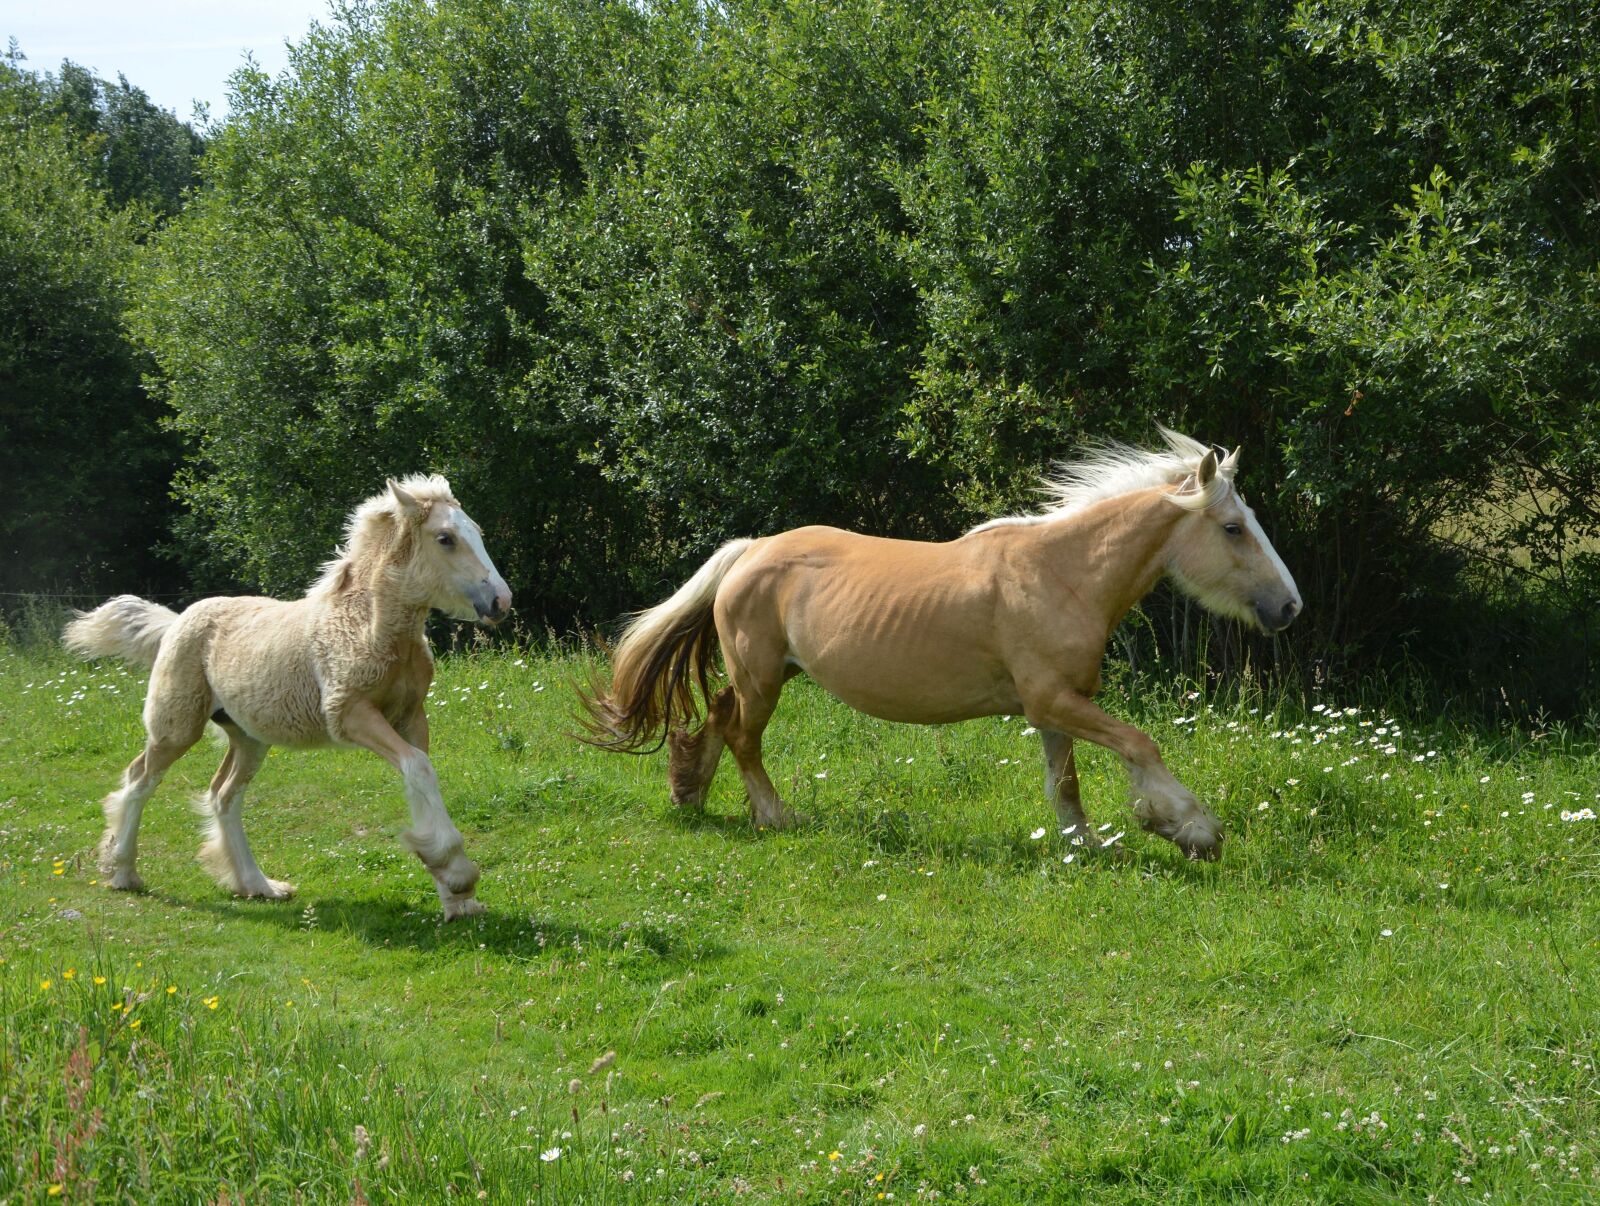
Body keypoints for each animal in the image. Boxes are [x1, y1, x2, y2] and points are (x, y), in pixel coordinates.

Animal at [63, 476, 512, 919]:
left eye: (477, 531)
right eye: (445, 538)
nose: (501, 601)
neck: (369, 626)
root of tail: (177, 621)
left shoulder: (410, 716)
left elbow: (420, 771)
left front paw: (457, 899)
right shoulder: (349, 714)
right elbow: (418, 767)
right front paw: (456, 873)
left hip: (248, 737)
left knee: (224, 795)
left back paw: (258, 885)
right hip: (176, 726)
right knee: (141, 779)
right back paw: (122, 872)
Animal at [579, 430, 1300, 861]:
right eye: (1233, 528)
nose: (1289, 606)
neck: (1060, 573)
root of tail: (751, 551)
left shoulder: (1054, 706)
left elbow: (1065, 782)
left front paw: (1087, 844)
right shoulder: (1052, 700)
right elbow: (1139, 744)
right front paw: (1190, 827)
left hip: (769, 673)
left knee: (716, 716)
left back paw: (690, 792)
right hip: (762, 680)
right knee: (740, 736)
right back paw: (776, 816)